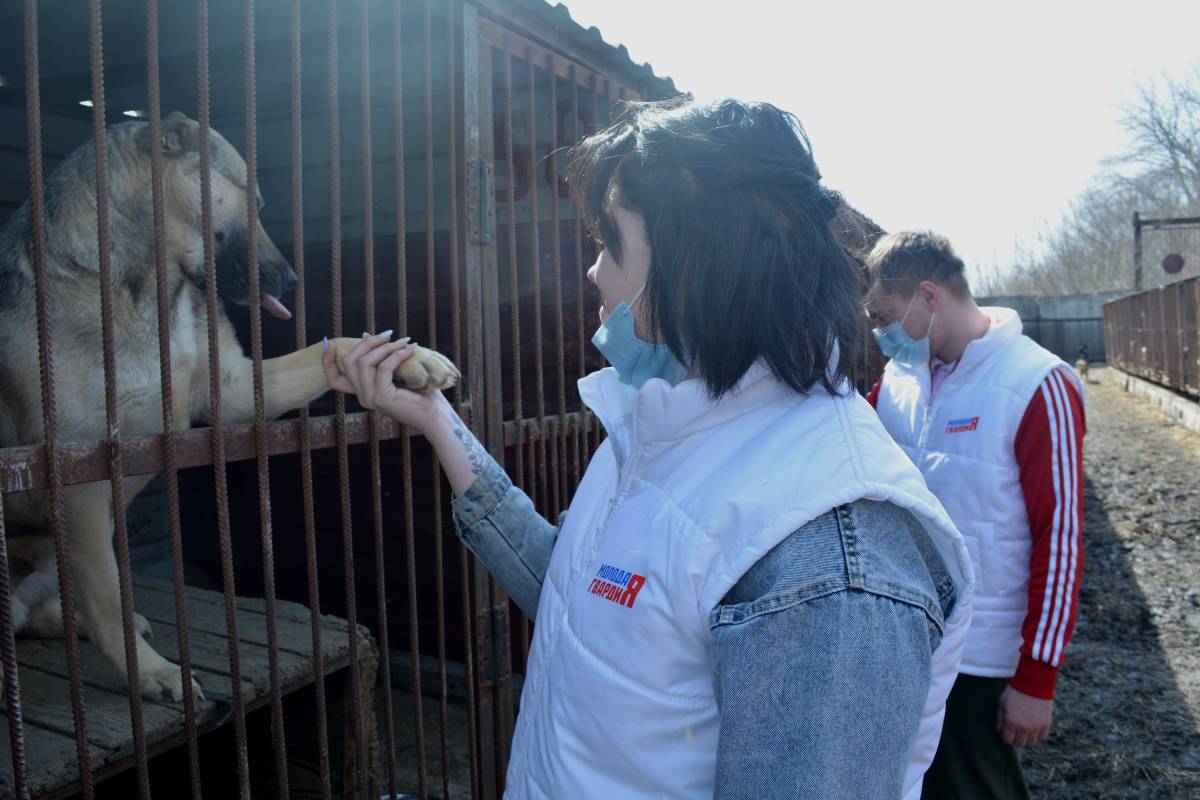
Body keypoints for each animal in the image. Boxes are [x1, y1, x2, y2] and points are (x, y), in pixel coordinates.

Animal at [0, 112, 458, 700]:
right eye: (254, 201)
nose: (294, 281)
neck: (155, 287)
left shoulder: (237, 388)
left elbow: (331, 347)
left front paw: (408, 358)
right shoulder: (77, 474)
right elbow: (107, 596)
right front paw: (152, 673)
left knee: (32, 615)